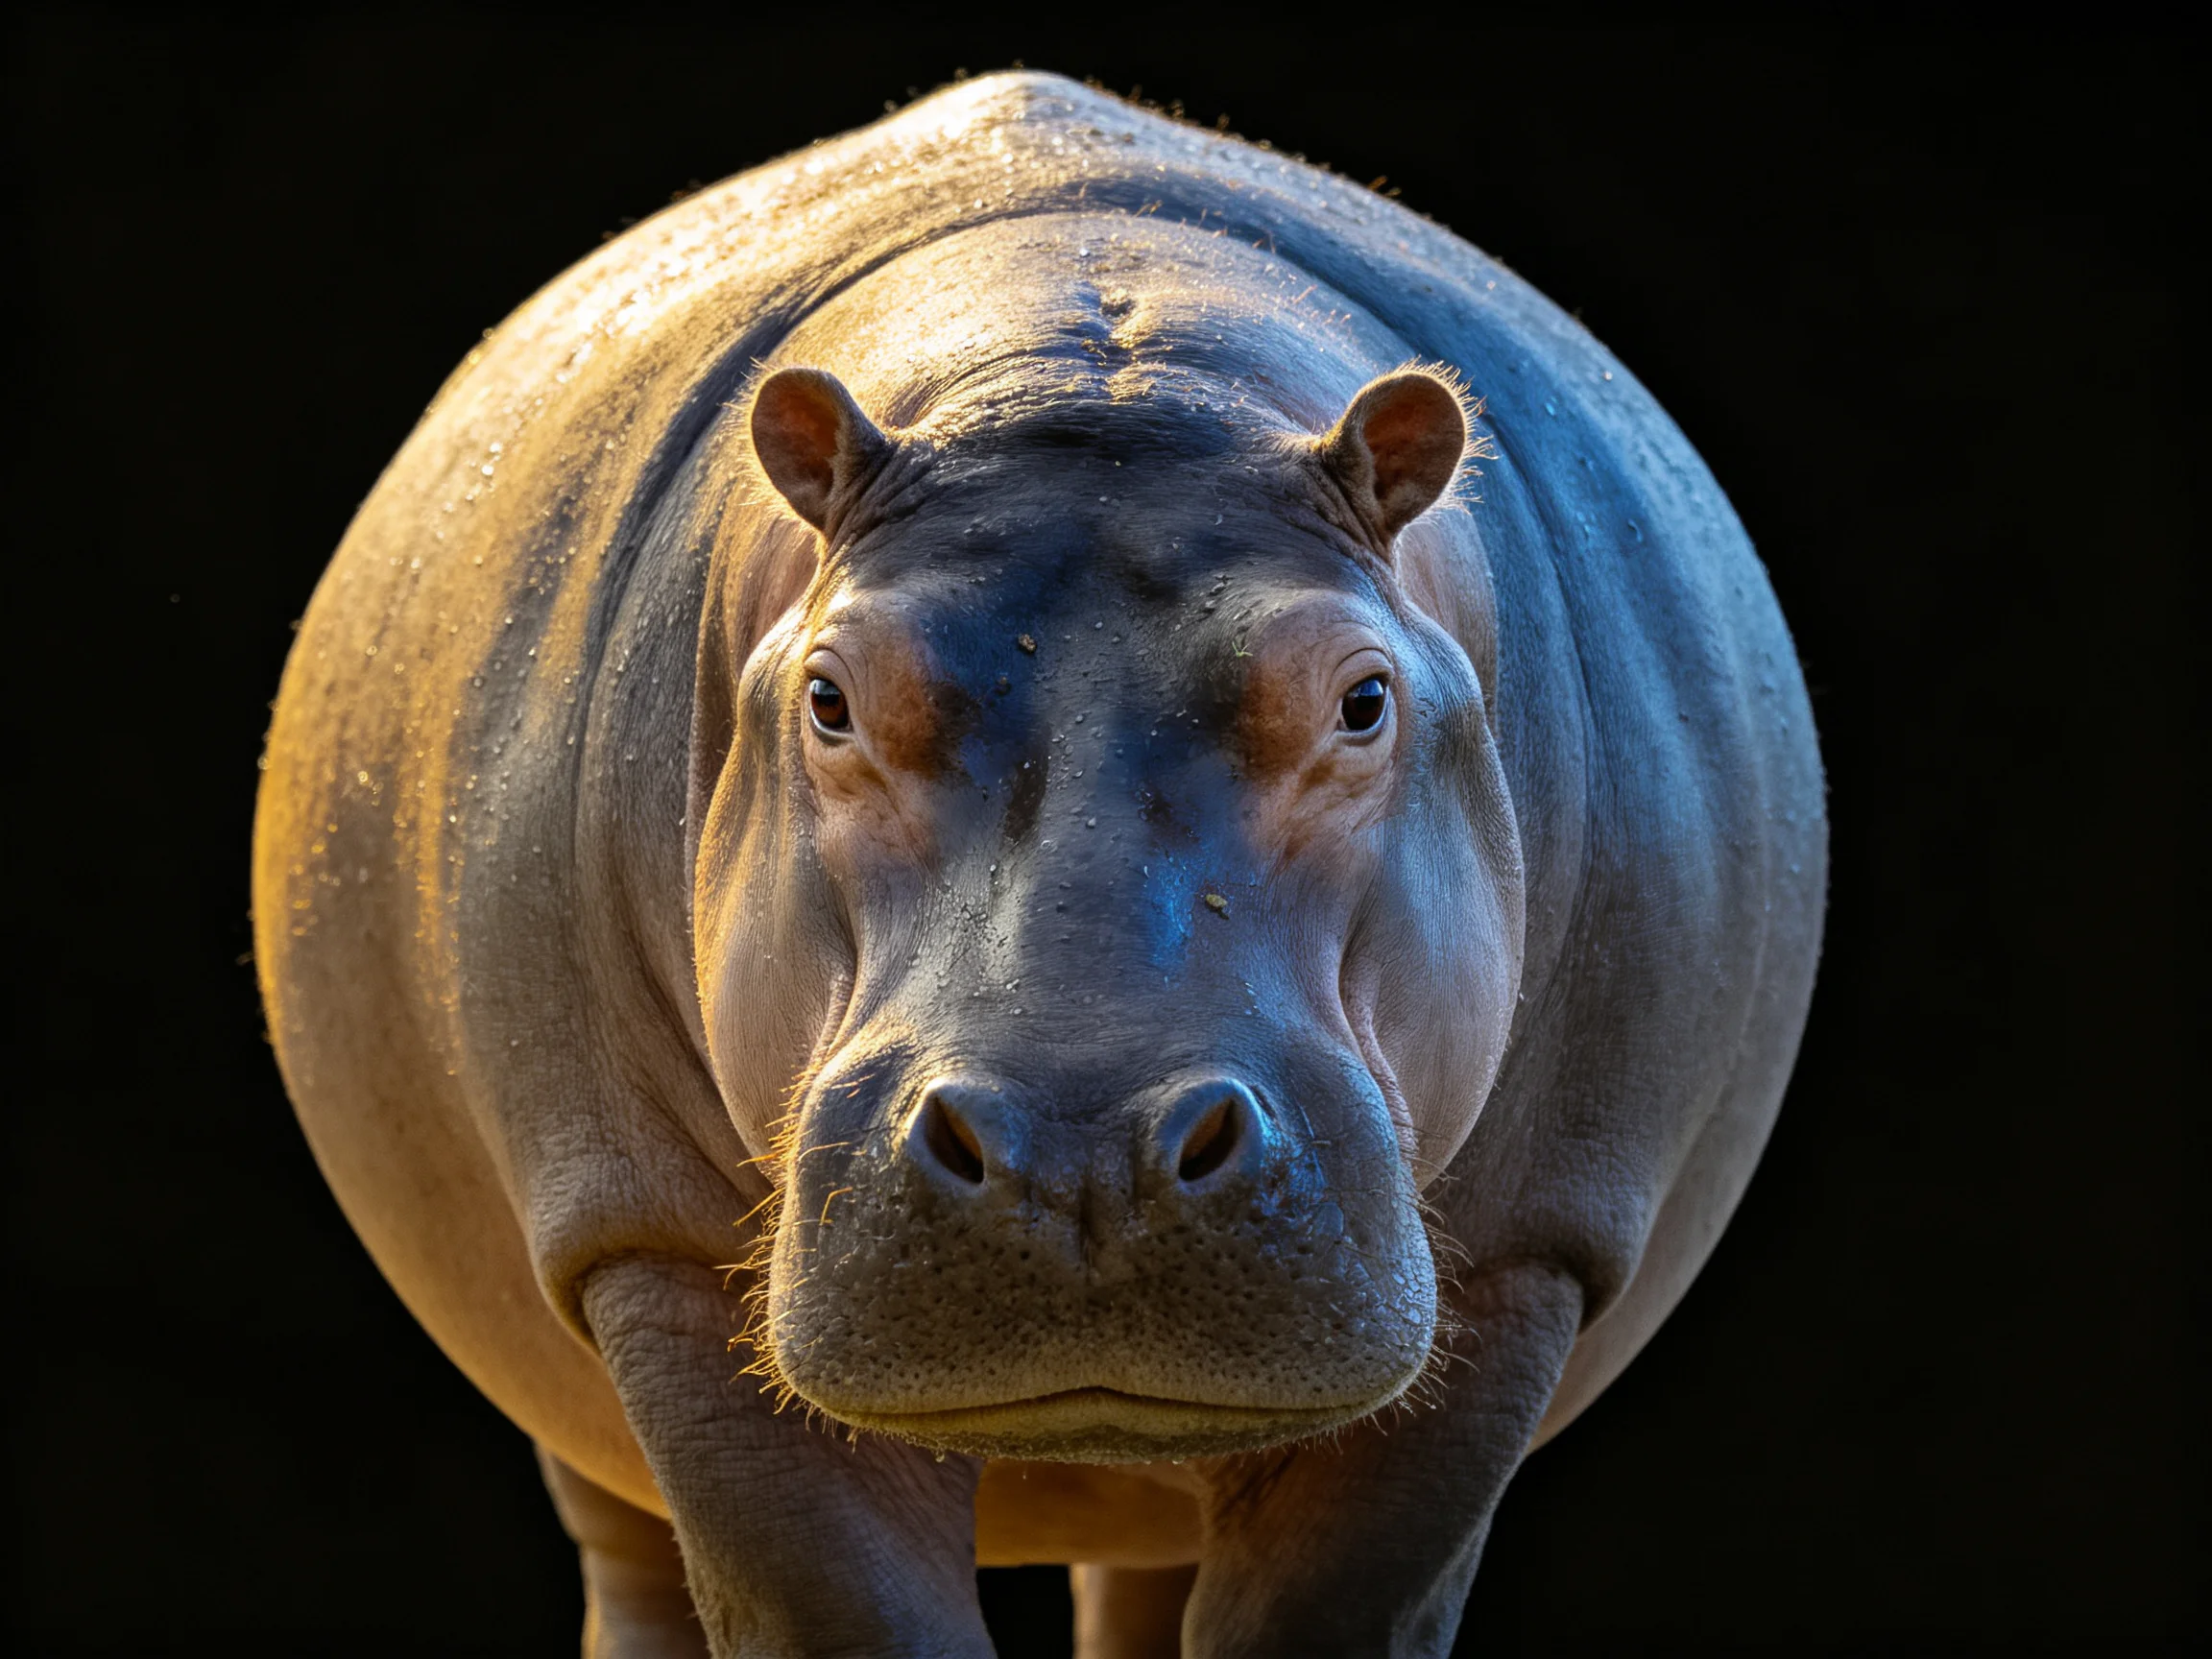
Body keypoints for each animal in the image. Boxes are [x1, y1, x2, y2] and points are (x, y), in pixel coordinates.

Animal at [252, 70, 1825, 1657]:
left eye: (1362, 697)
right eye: (830, 695)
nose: (1081, 1149)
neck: (1100, 376)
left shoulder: (1517, 1275)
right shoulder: (659, 1263)